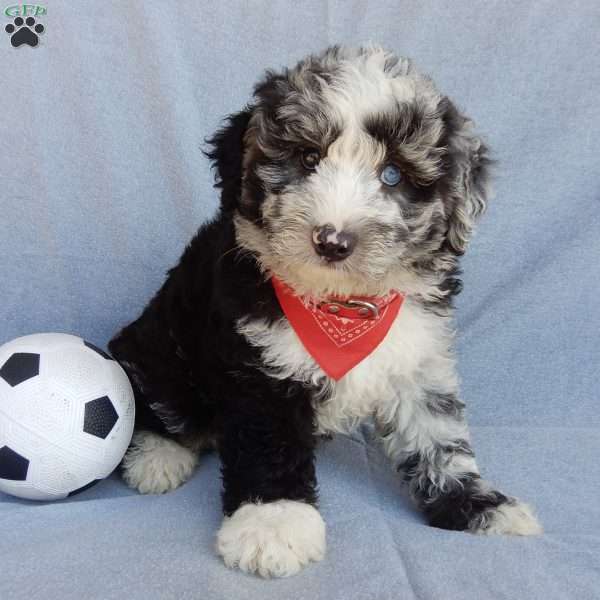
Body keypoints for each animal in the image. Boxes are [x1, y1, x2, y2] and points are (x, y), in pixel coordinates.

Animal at [109, 44, 544, 580]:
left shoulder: (417, 358)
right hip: (164, 347)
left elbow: (438, 435)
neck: (342, 307)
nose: (333, 240)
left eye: (392, 175)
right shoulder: (259, 368)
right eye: (307, 157)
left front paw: (475, 505)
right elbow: (269, 444)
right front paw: (272, 524)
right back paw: (157, 457)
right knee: (151, 401)